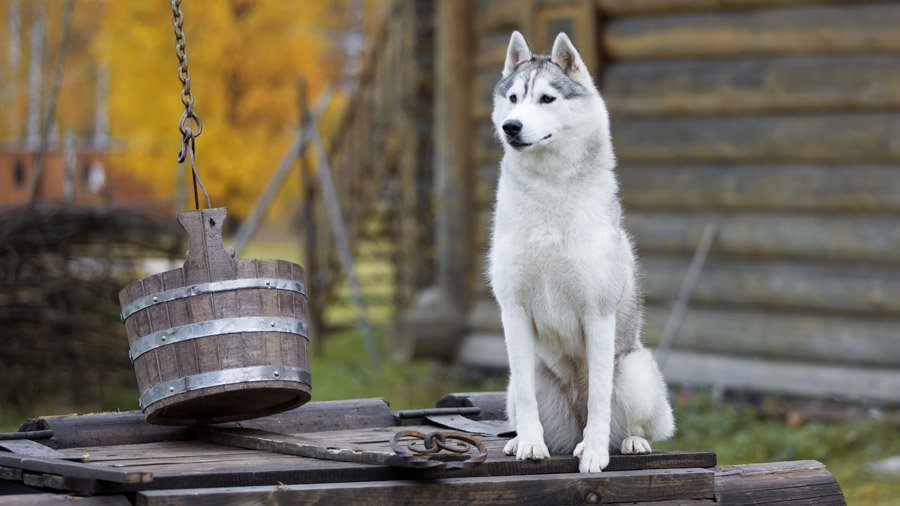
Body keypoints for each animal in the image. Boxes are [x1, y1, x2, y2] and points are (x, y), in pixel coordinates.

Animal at [488, 32, 672, 474]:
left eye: (547, 98)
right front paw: (529, 444)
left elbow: (600, 397)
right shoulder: (513, 310)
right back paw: (521, 440)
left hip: (636, 371)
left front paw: (594, 453)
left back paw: (627, 442)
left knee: (629, 422)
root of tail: (572, 422)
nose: (510, 126)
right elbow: (526, 397)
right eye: (514, 98)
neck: (548, 195)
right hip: (525, 380)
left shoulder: (597, 314)